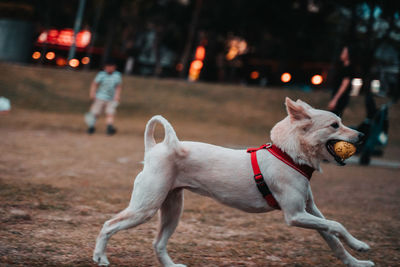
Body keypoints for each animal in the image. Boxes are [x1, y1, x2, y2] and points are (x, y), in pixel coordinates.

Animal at [92, 98, 374, 267]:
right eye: (334, 125)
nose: (362, 135)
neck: (288, 155)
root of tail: (155, 148)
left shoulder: (310, 211)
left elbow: (334, 237)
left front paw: (356, 257)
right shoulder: (295, 215)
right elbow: (336, 225)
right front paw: (361, 246)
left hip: (173, 209)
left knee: (158, 243)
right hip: (145, 208)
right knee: (108, 225)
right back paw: (100, 257)